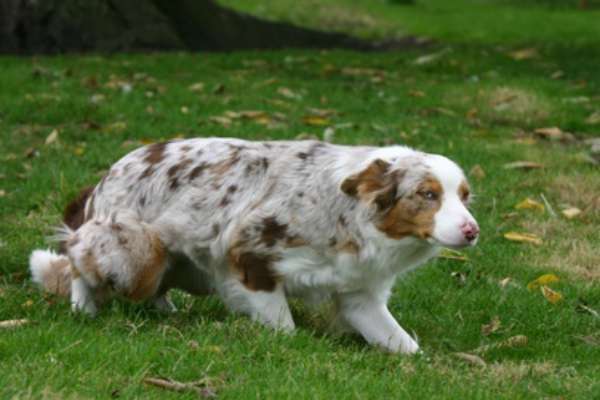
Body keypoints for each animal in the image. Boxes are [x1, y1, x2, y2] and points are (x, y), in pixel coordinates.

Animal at [30, 138, 478, 354]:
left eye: (464, 196)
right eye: (427, 194)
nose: (472, 230)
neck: (349, 211)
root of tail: (108, 174)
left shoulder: (359, 292)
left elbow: (401, 342)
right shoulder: (250, 254)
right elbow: (284, 326)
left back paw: (166, 310)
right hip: (135, 250)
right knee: (79, 256)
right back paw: (83, 308)